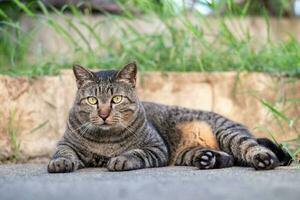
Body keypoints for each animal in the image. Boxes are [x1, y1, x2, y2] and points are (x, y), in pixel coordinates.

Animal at [47, 63, 290, 173]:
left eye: (116, 99)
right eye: (92, 101)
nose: (104, 114)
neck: (106, 142)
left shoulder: (155, 147)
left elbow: (135, 152)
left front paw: (121, 159)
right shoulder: (66, 143)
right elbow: (62, 152)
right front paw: (60, 162)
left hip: (228, 133)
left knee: (251, 147)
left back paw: (264, 159)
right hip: (188, 153)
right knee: (229, 158)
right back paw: (209, 159)